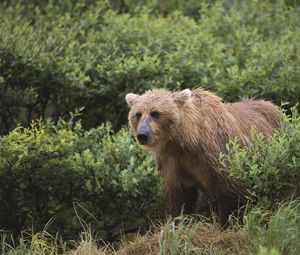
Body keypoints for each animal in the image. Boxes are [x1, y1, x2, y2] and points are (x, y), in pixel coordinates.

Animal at [125, 87, 284, 225]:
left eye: (155, 113)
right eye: (138, 114)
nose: (142, 135)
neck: (187, 142)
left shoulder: (217, 153)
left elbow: (230, 188)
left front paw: (226, 222)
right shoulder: (174, 162)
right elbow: (181, 195)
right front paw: (179, 222)